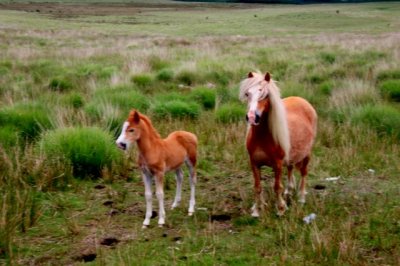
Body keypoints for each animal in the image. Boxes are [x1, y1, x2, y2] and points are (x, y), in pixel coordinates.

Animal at [239, 71, 318, 217]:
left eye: (265, 95)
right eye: (247, 93)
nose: (252, 117)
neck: (262, 137)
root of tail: (302, 100)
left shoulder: (278, 164)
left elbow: (277, 187)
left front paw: (280, 209)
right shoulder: (254, 163)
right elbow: (257, 187)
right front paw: (257, 210)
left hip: (307, 154)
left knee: (304, 173)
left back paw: (301, 198)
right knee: (291, 168)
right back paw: (289, 192)